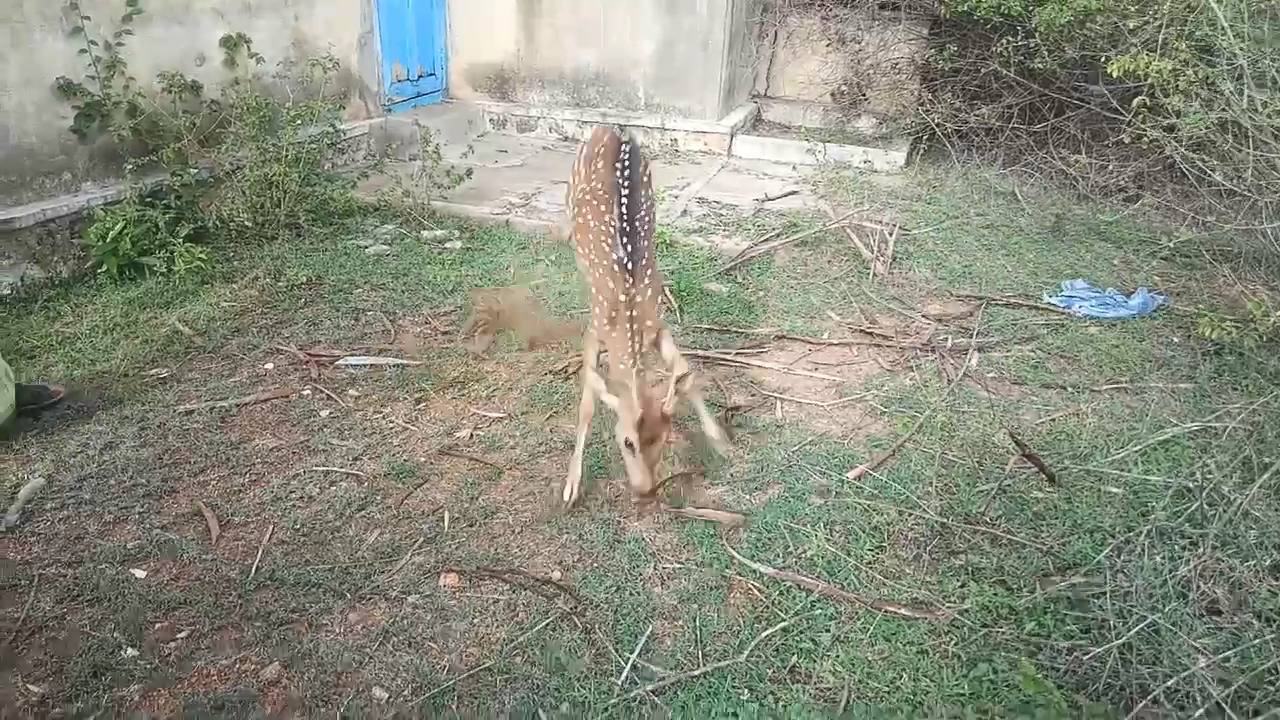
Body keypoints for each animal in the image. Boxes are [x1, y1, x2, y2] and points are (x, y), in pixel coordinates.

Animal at [563, 124, 732, 504]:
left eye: (665, 438)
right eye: (627, 442)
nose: (645, 490)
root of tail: (608, 128)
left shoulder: (657, 323)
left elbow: (684, 369)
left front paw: (719, 440)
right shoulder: (594, 329)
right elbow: (588, 399)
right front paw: (570, 486)